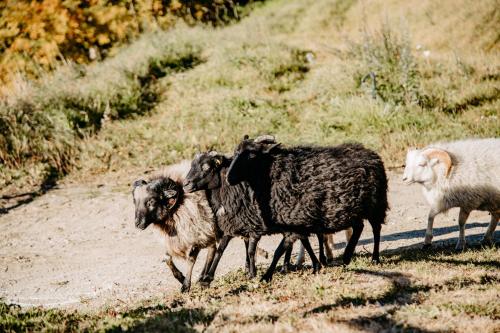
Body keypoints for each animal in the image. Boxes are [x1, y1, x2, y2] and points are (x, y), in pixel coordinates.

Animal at [132, 160, 218, 290]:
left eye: (151, 201)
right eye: (135, 201)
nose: (137, 223)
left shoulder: (197, 234)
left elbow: (191, 258)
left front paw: (185, 285)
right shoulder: (181, 238)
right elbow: (167, 258)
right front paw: (180, 278)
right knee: (213, 248)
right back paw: (203, 278)